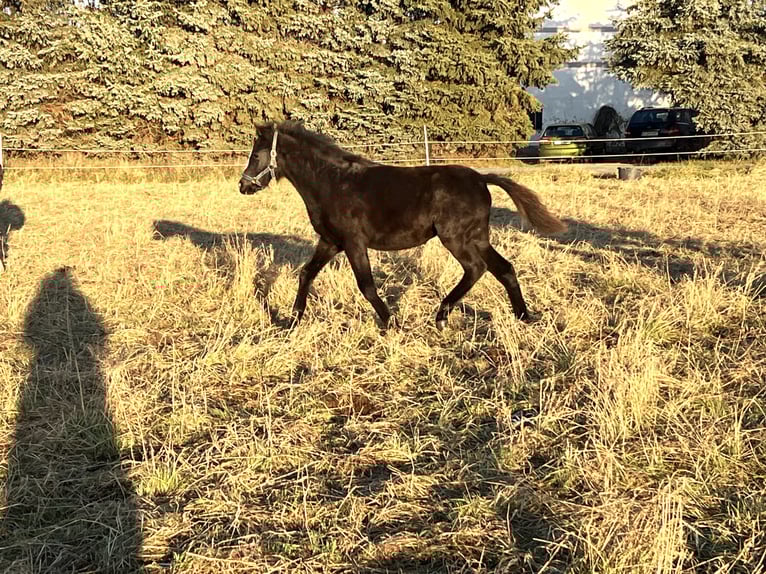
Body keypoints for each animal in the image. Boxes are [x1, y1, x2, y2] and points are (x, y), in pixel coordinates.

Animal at [239, 121, 567, 330]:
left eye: (256, 154)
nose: (243, 186)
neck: (332, 181)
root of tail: (480, 179)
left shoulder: (354, 242)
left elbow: (366, 285)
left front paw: (391, 322)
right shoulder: (330, 242)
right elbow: (306, 273)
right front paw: (292, 320)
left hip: (456, 239)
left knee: (476, 268)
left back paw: (441, 316)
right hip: (477, 238)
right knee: (504, 268)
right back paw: (523, 316)